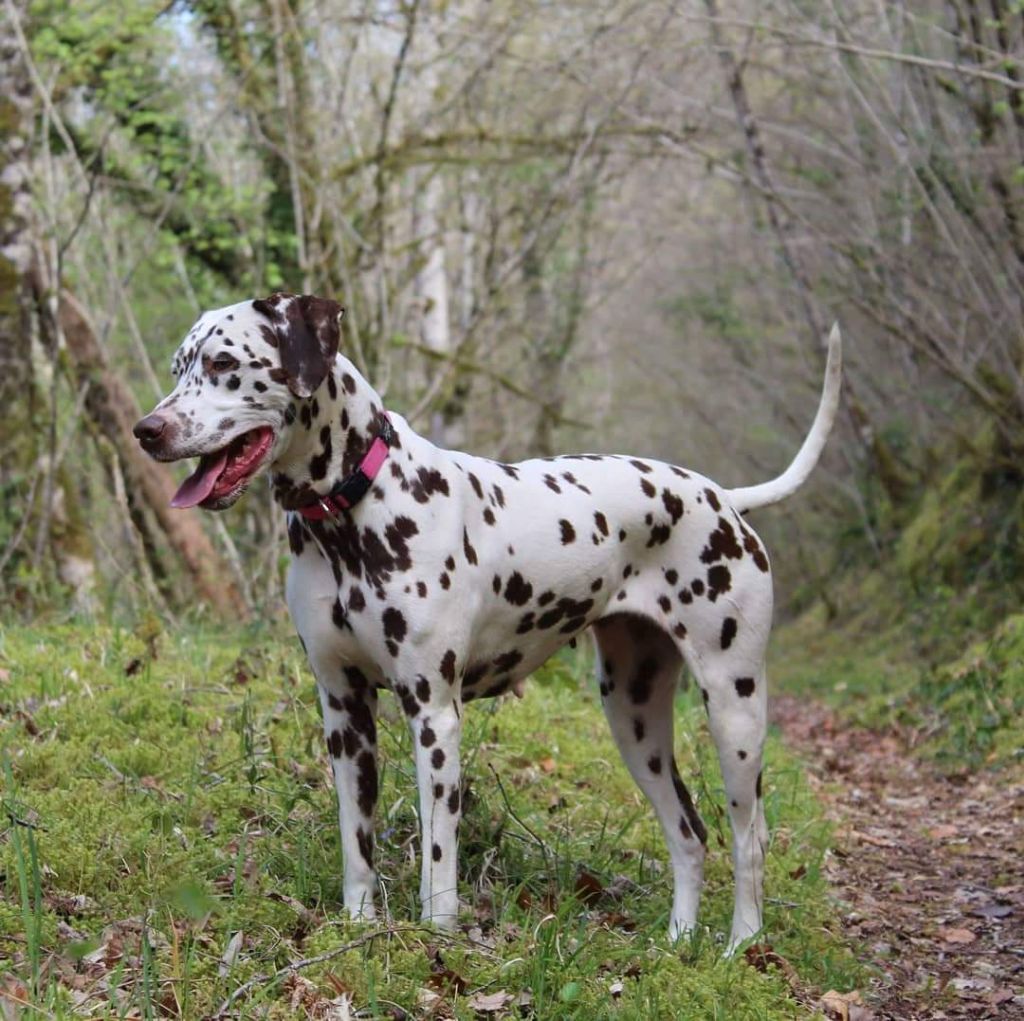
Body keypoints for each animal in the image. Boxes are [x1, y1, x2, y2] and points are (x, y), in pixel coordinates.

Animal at [136, 290, 839, 950]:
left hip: (734, 711)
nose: (148, 429)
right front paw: (357, 925)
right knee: (690, 834)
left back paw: (741, 946)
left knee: (749, 839)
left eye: (222, 364)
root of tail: (720, 497)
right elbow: (356, 841)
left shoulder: (434, 715)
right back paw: (678, 944)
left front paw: (436, 937)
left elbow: (438, 854)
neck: (352, 513)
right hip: (634, 717)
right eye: (178, 368)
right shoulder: (343, 711)